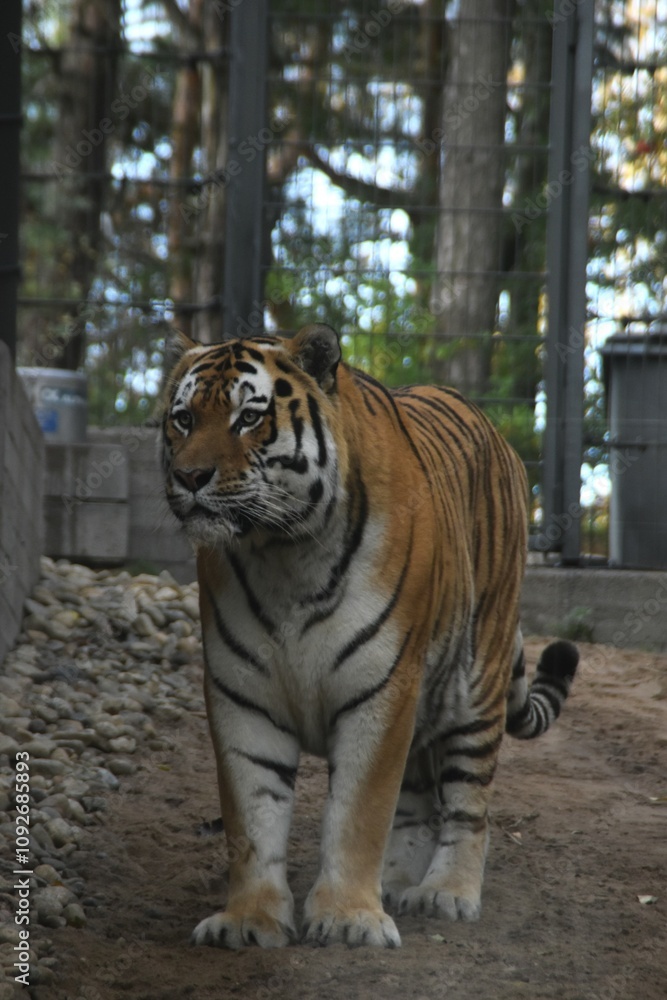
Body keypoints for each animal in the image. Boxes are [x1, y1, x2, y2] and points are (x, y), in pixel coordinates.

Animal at [161, 322, 578, 949]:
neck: (282, 554)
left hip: (476, 685)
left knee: (468, 804)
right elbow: (251, 818)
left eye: (249, 417)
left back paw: (446, 892)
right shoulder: (242, 695)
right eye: (184, 419)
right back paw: (399, 880)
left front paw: (347, 918)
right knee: (418, 800)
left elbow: (360, 812)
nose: (189, 478)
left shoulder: (380, 687)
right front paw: (249, 920)